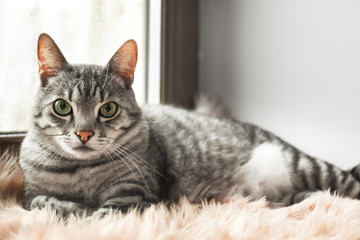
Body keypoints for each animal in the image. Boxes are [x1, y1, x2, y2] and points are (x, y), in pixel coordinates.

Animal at [19, 32, 360, 217]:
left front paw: (86, 214)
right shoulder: (31, 194)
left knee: (348, 184)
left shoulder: (133, 194)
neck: (81, 172)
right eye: (63, 107)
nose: (84, 133)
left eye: (108, 109)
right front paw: (72, 208)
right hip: (274, 194)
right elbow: (42, 202)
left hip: (305, 164)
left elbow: (101, 215)